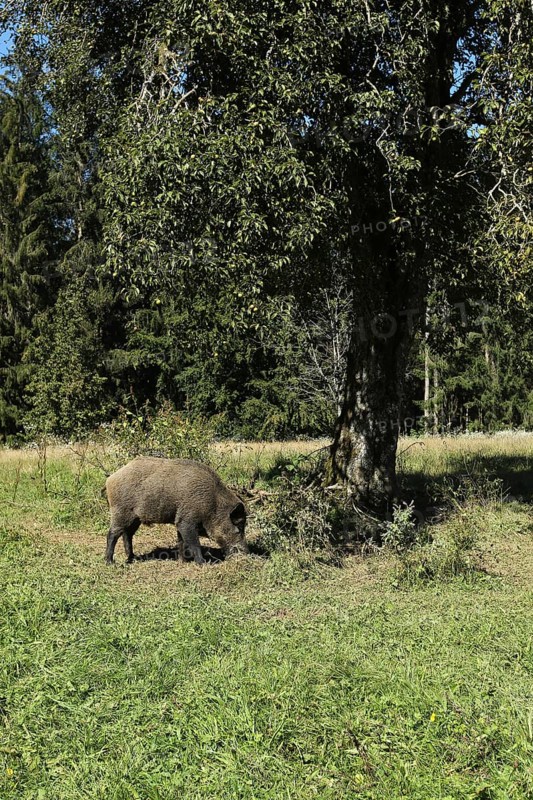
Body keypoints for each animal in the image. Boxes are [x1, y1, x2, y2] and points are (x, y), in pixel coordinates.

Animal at [105, 457, 248, 565]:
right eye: (239, 527)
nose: (247, 552)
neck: (213, 504)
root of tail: (110, 479)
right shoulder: (186, 521)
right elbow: (194, 543)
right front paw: (203, 563)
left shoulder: (179, 521)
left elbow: (181, 541)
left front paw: (183, 561)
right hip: (120, 511)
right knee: (112, 534)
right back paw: (110, 562)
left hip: (135, 518)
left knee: (127, 534)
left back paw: (132, 558)